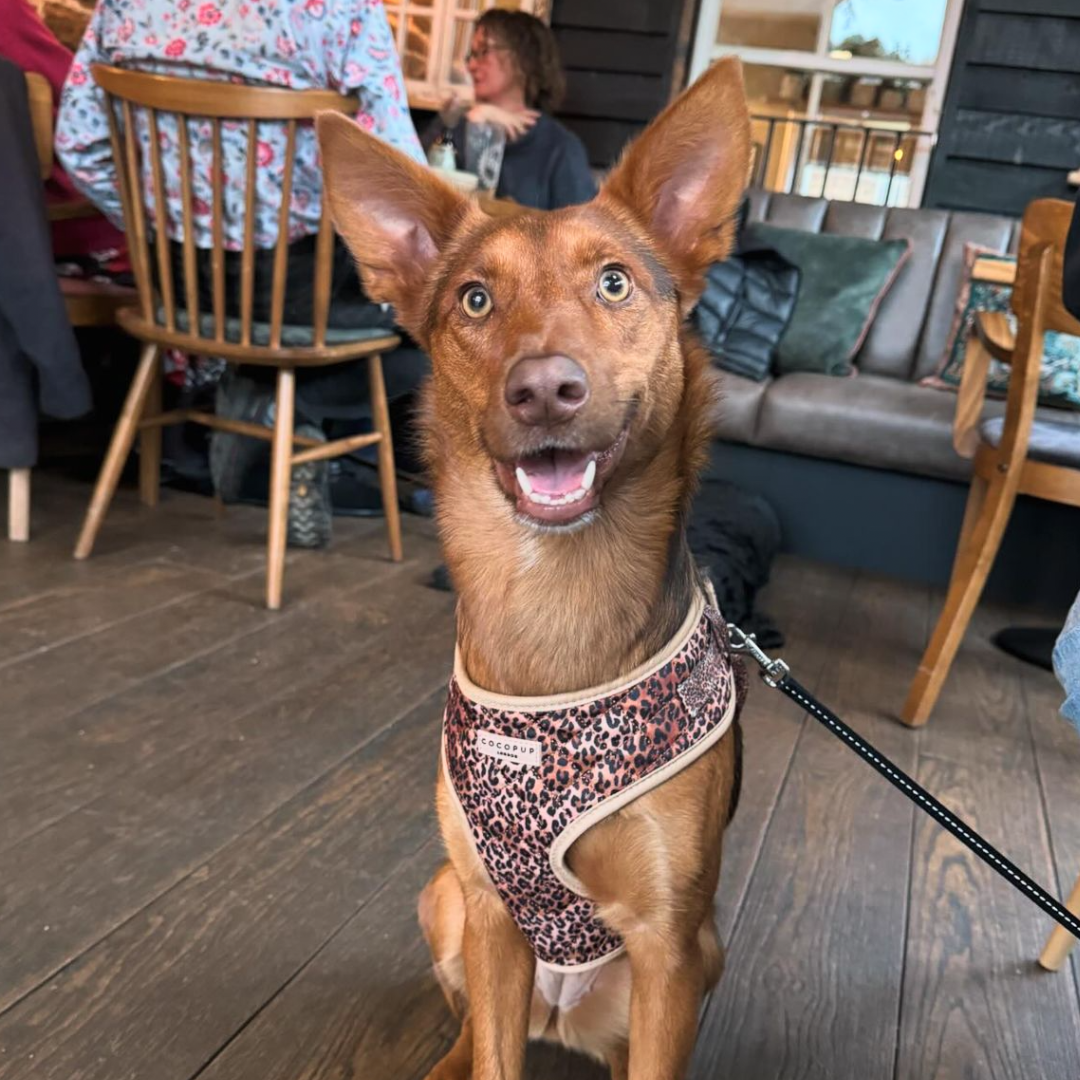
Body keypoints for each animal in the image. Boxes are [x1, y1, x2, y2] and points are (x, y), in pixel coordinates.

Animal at [315, 59, 747, 1080]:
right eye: (475, 299)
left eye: (615, 282)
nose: (545, 389)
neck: (553, 591)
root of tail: (561, 1016)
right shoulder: (488, 906)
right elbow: (492, 1050)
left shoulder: (670, 946)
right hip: (447, 899)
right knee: (477, 1026)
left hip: (700, 955)